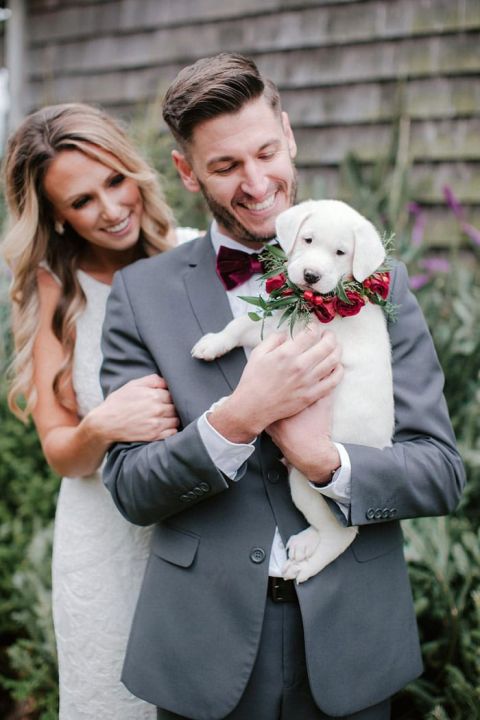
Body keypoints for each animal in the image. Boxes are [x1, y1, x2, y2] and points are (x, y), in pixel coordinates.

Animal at [191, 200, 394, 584]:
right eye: (308, 239)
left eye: (341, 252)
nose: (311, 275)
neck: (316, 305)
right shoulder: (275, 324)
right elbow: (240, 324)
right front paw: (213, 343)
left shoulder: (292, 343)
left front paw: (232, 402)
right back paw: (303, 544)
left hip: (307, 479)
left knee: (342, 532)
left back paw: (304, 566)